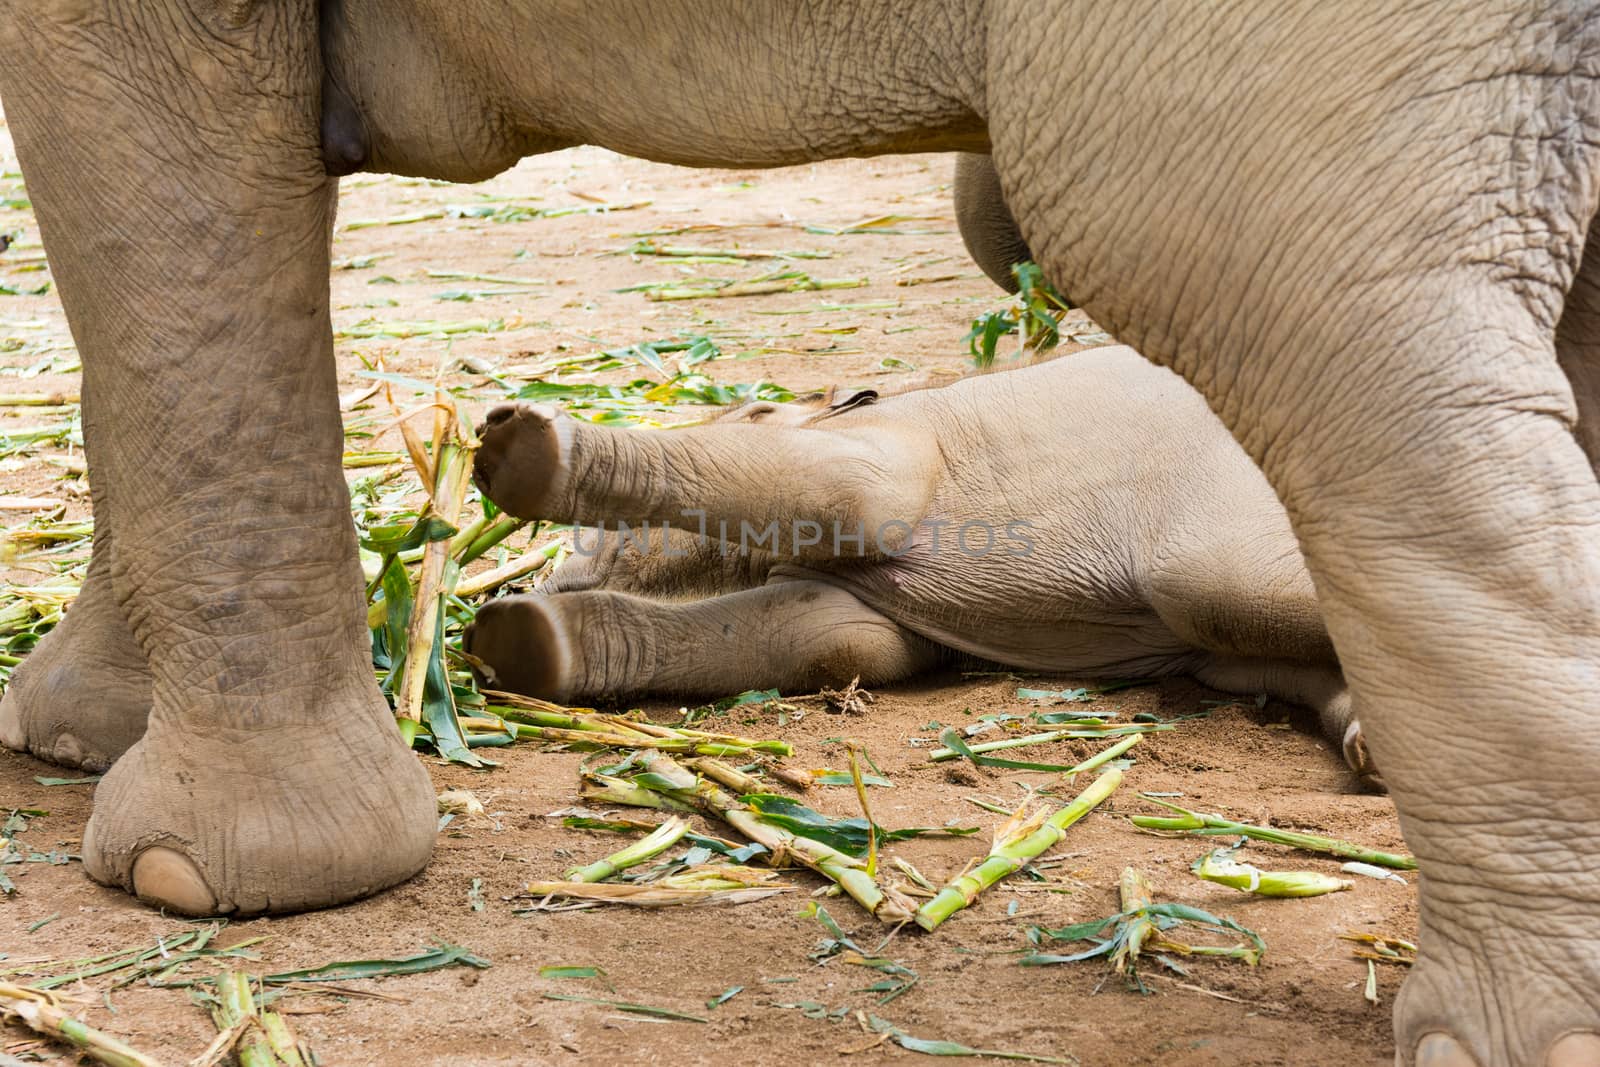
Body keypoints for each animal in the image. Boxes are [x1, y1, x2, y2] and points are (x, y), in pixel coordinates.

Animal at [467, 347, 1376, 790]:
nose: (538, 580)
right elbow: (841, 637)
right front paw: (515, 642)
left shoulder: (889, 446)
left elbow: (857, 501)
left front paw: (514, 448)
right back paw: (1366, 744)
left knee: (1215, 592)